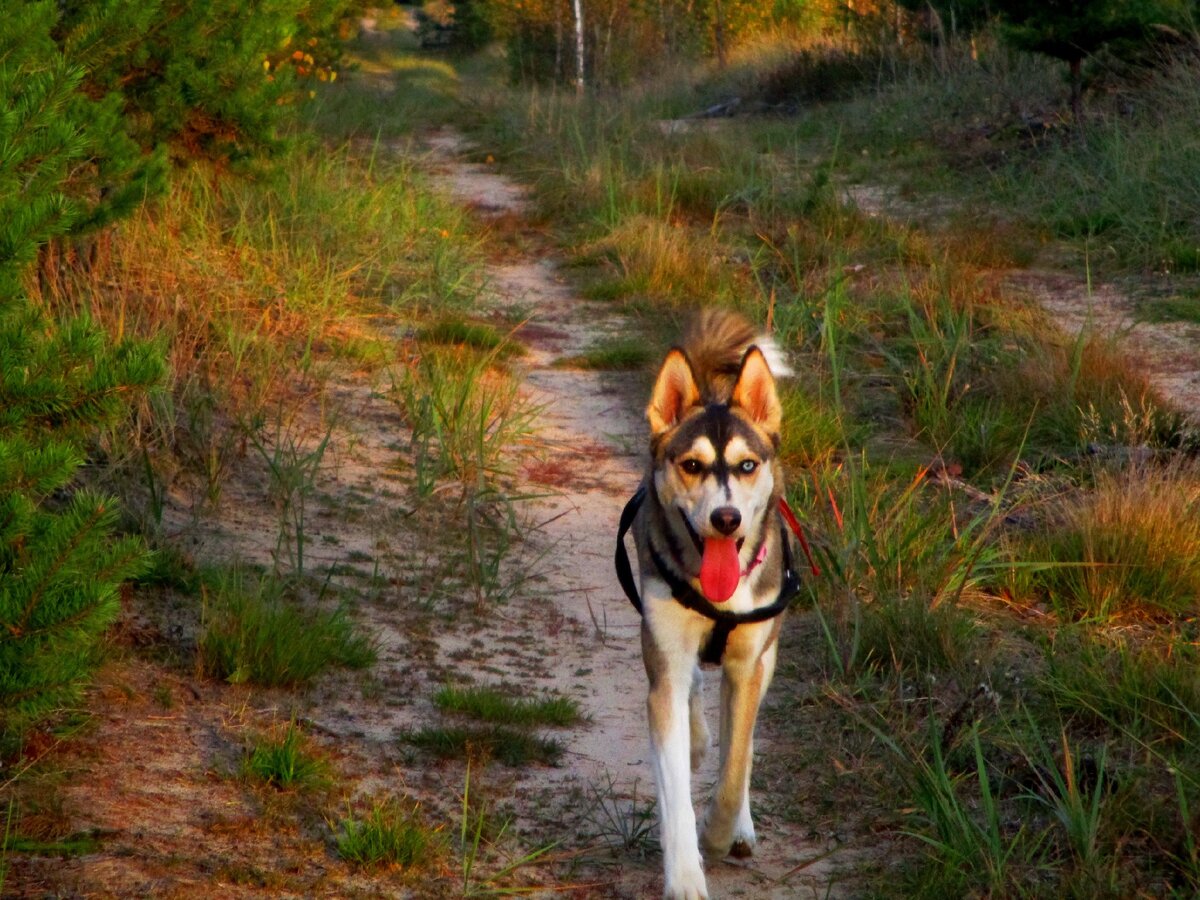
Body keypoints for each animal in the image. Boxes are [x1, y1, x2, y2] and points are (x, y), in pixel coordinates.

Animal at [614, 312, 801, 900]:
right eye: (692, 465)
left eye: (746, 465)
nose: (726, 519)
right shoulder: (665, 659)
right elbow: (674, 788)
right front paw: (686, 877)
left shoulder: (748, 663)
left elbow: (736, 765)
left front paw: (722, 833)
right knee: (692, 691)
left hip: (767, 651)